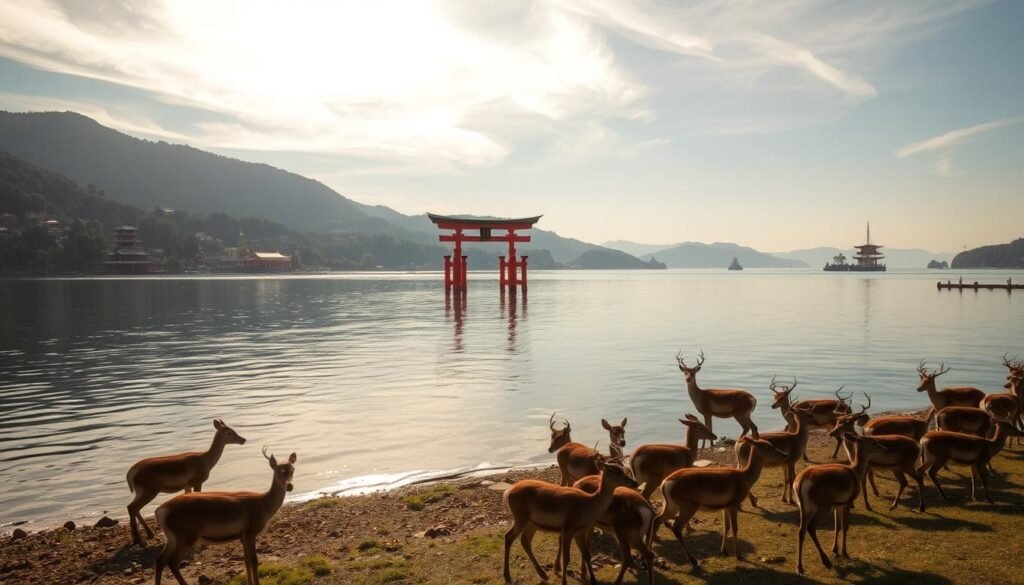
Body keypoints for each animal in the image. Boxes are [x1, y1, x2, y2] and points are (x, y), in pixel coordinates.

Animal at [154, 447, 296, 585]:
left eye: (292, 470)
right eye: (279, 470)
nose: (289, 486)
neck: (265, 506)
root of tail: (161, 510)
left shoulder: (242, 535)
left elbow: (246, 560)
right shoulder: (250, 531)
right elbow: (254, 561)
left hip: (172, 537)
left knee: (160, 560)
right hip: (186, 535)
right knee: (172, 562)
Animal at [503, 458, 638, 585]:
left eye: (622, 468)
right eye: (615, 470)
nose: (634, 482)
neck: (589, 505)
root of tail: (508, 492)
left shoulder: (580, 530)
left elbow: (587, 554)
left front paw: (593, 580)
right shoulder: (568, 527)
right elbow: (566, 558)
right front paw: (564, 581)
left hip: (532, 523)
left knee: (524, 540)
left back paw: (543, 574)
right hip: (520, 517)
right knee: (508, 536)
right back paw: (508, 576)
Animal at [656, 438, 786, 565]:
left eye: (771, 444)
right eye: (767, 446)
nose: (784, 454)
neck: (745, 478)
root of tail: (665, 483)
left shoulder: (725, 506)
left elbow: (726, 527)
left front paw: (724, 551)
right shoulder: (734, 503)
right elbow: (734, 527)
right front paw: (738, 555)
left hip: (671, 505)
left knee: (658, 519)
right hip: (688, 506)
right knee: (676, 528)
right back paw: (693, 560)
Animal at [793, 433, 890, 574]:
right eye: (873, 442)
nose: (885, 448)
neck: (856, 472)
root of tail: (799, 482)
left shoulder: (837, 504)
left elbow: (837, 526)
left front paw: (835, 550)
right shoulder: (847, 502)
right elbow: (845, 527)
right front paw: (845, 553)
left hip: (804, 507)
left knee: (801, 530)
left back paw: (799, 567)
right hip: (822, 505)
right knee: (811, 527)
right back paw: (826, 562)